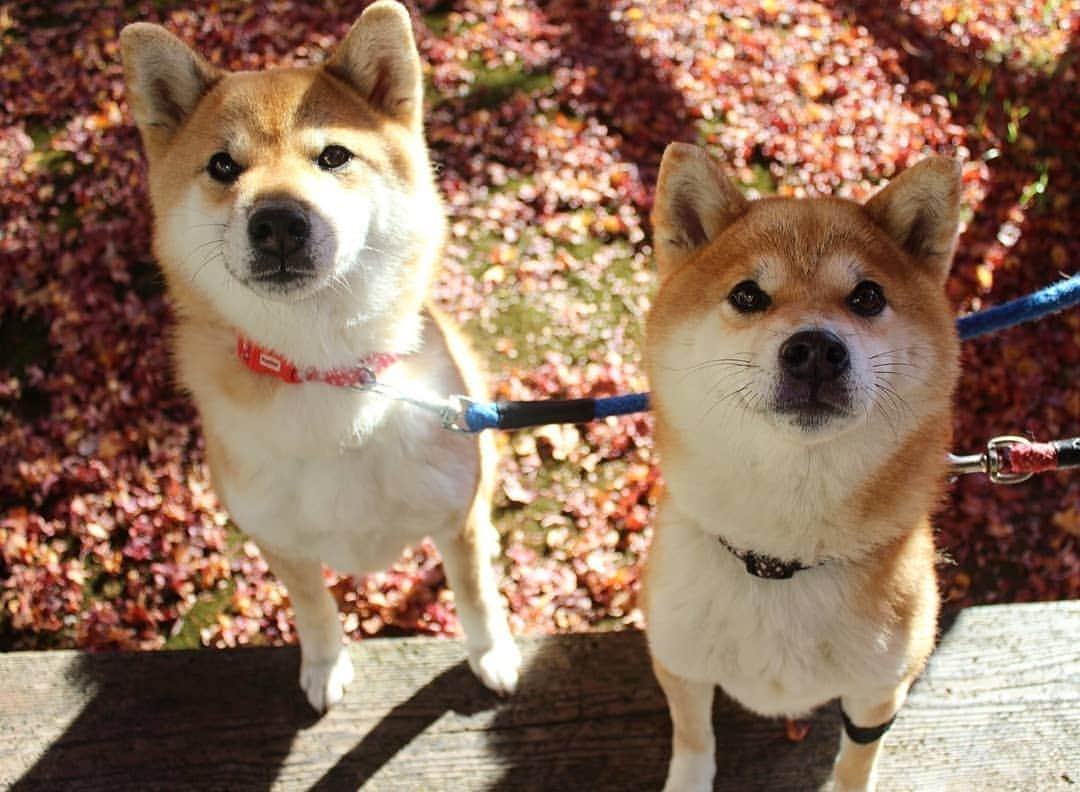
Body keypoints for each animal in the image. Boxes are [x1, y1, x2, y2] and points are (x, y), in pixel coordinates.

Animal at [120, 0, 520, 713]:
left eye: (334, 155)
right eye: (223, 166)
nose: (278, 220)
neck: (327, 373)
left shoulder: (455, 518)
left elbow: (474, 595)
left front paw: (491, 654)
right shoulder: (280, 541)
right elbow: (313, 609)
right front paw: (326, 665)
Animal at [643, 143, 959, 790]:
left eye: (867, 296)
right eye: (747, 295)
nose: (815, 349)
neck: (781, 562)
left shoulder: (878, 691)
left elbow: (858, 758)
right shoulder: (679, 659)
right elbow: (694, 736)